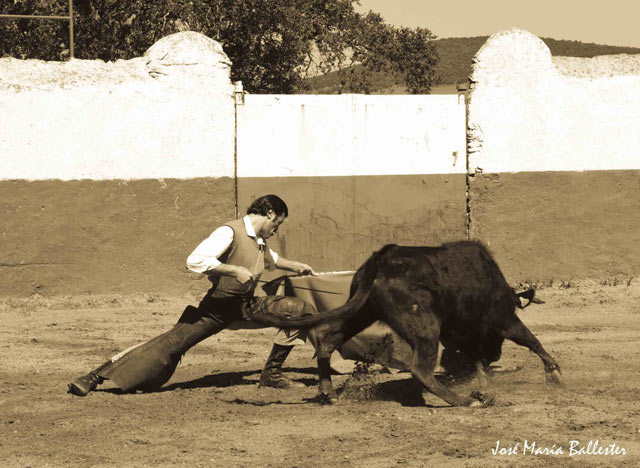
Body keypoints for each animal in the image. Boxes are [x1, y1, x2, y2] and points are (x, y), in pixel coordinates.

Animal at [245, 241, 560, 406]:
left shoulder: (460, 334)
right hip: (424, 326)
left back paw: (330, 393)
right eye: (498, 340)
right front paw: (554, 373)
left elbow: (476, 360)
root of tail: (382, 259)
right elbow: (529, 339)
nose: (497, 354)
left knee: (328, 338)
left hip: (364, 310)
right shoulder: (501, 318)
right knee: (420, 369)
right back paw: (461, 401)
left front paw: (483, 386)